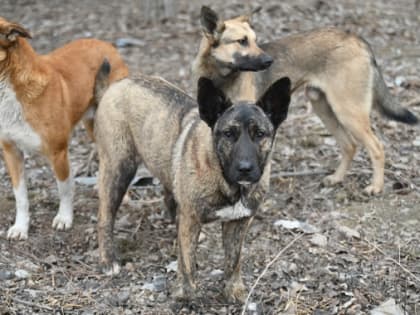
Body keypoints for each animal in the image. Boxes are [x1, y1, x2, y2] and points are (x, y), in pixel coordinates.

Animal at [0, 16, 128, 241]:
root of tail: (107, 45)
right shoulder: (11, 151)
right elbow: (21, 195)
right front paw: (20, 227)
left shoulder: (57, 151)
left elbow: (65, 188)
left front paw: (64, 218)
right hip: (93, 127)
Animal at [93, 61, 290, 302]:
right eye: (228, 134)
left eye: (260, 134)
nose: (245, 168)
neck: (226, 180)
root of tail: (117, 84)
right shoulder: (191, 220)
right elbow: (187, 263)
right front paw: (186, 295)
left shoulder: (238, 224)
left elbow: (234, 261)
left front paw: (233, 290)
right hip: (119, 170)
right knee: (105, 217)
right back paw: (108, 259)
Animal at [193, 6, 416, 195]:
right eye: (242, 41)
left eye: (256, 40)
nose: (269, 61)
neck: (221, 76)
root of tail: (357, 38)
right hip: (324, 108)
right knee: (350, 145)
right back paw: (337, 178)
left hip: (348, 112)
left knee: (377, 148)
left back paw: (376, 187)